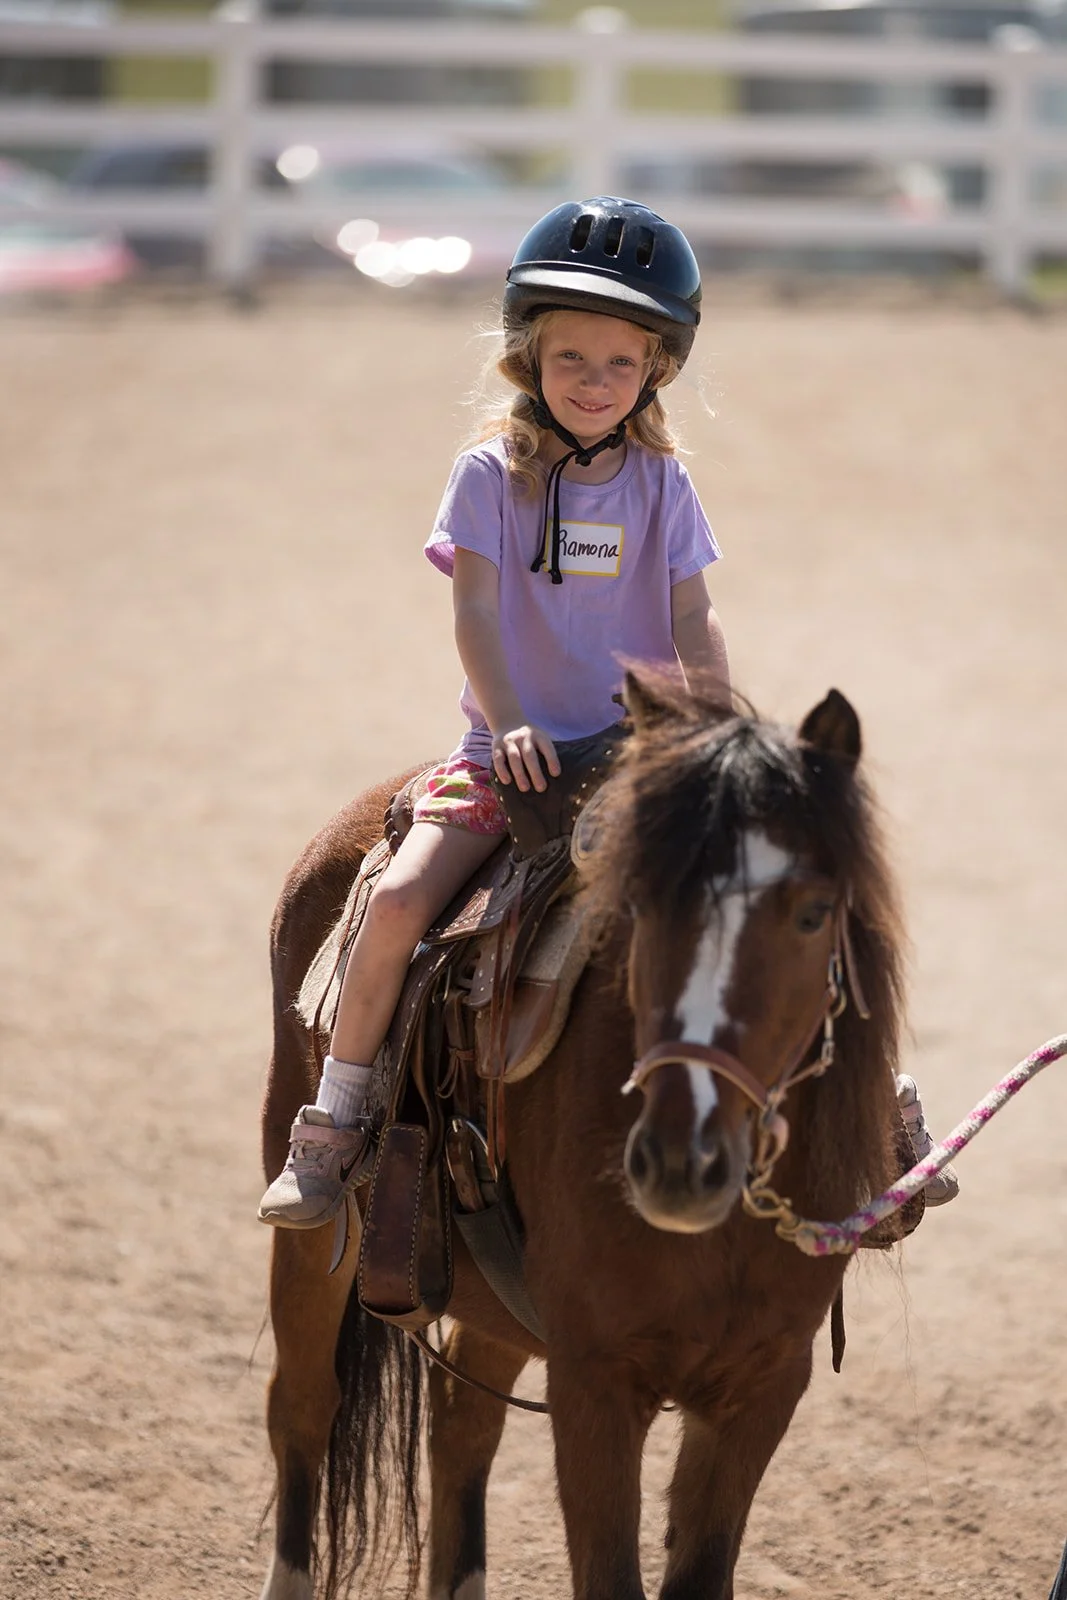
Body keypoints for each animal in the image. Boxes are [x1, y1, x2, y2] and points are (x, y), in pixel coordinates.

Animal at [258, 666, 906, 1600]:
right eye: (639, 904)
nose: (679, 1160)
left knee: (461, 1426)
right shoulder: (594, 1382)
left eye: (814, 912)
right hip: (314, 1243)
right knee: (304, 1408)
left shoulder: (762, 1384)